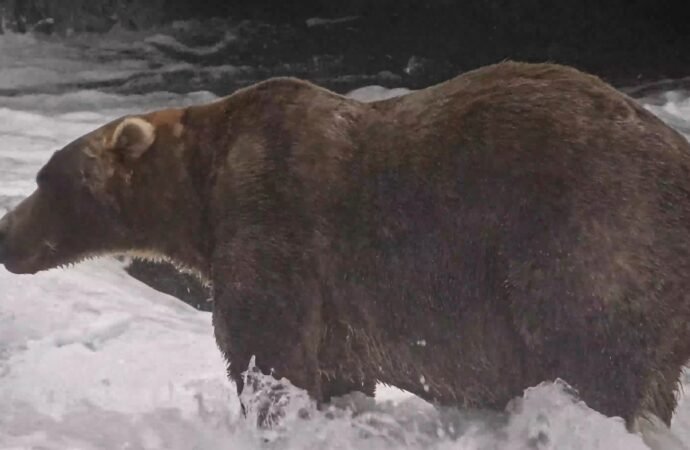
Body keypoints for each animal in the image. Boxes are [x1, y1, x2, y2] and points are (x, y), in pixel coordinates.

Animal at [1, 61, 690, 444]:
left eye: (45, 179)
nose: (6, 233)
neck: (199, 192)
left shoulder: (275, 218)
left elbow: (267, 351)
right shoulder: (336, 304)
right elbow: (336, 372)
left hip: (590, 232)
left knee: (593, 355)